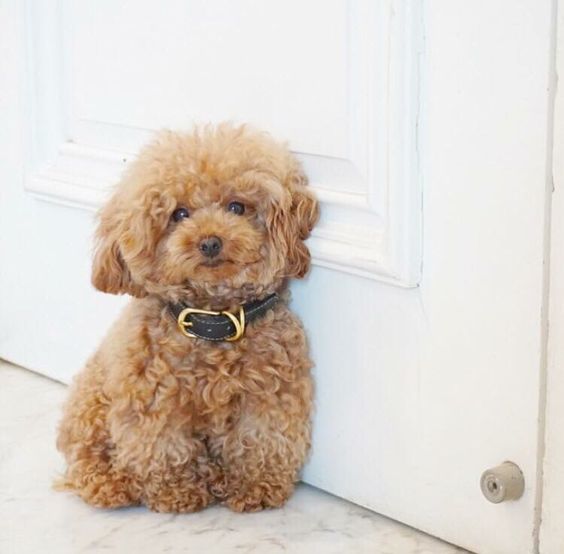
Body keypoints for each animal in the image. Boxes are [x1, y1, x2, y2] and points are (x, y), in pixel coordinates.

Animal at [57, 123, 322, 512]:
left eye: (236, 206)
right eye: (179, 213)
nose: (210, 242)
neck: (213, 321)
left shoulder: (269, 395)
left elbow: (259, 440)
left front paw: (254, 487)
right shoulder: (154, 403)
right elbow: (165, 449)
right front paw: (178, 493)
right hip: (89, 406)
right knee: (85, 459)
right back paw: (112, 482)